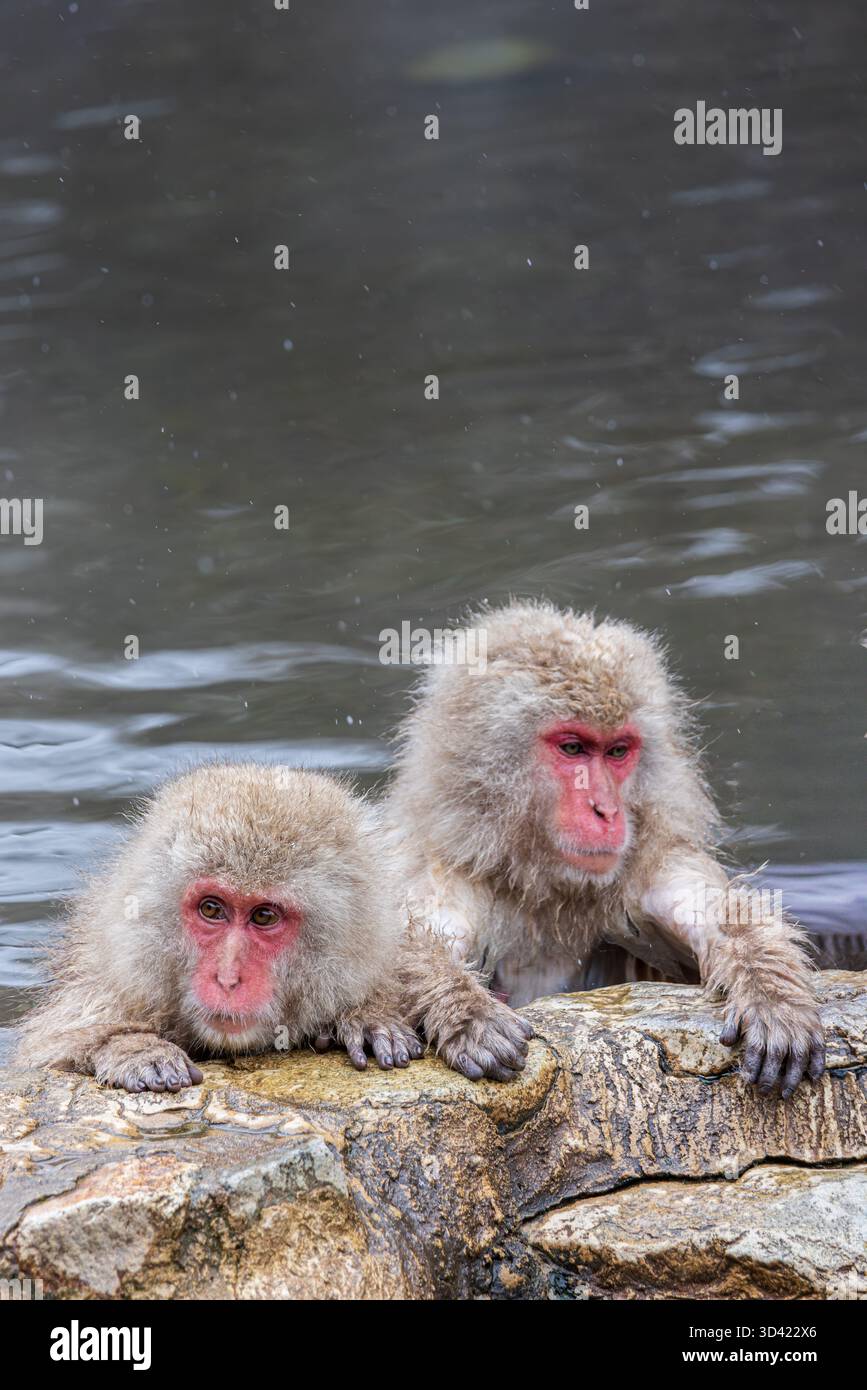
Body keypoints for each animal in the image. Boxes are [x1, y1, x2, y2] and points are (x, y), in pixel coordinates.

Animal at [15, 764, 530, 1091]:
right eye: (212, 909)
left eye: (263, 916)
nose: (227, 978)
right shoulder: (115, 984)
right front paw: (132, 1050)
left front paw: (452, 1011)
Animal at [385, 601, 826, 1099]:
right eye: (573, 748)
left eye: (617, 752)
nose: (607, 811)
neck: (544, 885)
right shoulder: (444, 868)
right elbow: (396, 939)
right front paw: (466, 1009)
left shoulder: (647, 863)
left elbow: (720, 915)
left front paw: (773, 996)